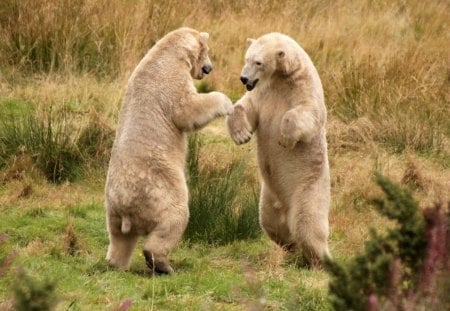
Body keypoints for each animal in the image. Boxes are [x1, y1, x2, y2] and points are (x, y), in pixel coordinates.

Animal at [105, 27, 232, 276]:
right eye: (207, 52)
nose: (209, 68)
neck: (167, 51)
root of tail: (126, 205)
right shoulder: (170, 79)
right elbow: (187, 108)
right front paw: (226, 102)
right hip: (159, 189)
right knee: (175, 217)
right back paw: (162, 264)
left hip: (112, 210)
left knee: (119, 238)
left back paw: (116, 263)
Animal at [229, 32, 330, 266]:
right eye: (246, 58)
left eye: (258, 62)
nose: (244, 79)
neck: (281, 77)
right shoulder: (262, 92)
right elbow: (246, 107)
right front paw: (241, 135)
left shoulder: (303, 86)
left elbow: (309, 112)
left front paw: (285, 138)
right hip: (268, 197)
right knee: (270, 223)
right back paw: (290, 247)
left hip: (308, 188)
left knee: (308, 225)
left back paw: (320, 260)